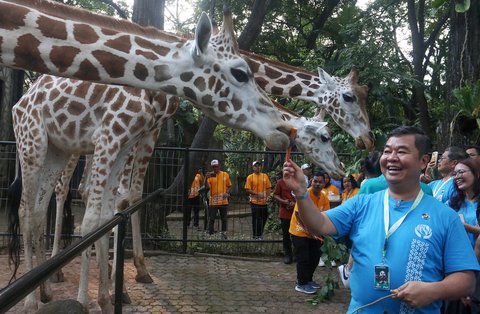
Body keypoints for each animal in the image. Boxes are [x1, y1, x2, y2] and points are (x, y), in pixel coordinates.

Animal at [0, 0, 344, 312]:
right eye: (240, 73)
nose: (341, 168)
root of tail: (20, 102)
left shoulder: (137, 134)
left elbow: (120, 205)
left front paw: (118, 285)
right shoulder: (113, 132)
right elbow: (102, 213)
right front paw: (95, 295)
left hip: (59, 147)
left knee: (43, 205)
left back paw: (46, 286)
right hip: (38, 142)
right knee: (36, 204)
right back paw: (35, 295)